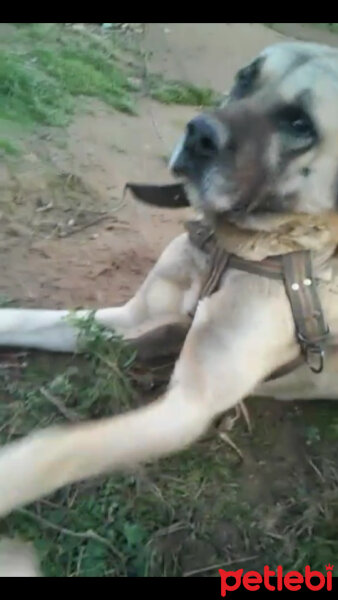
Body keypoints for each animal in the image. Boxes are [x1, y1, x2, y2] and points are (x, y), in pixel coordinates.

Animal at [0, 39, 338, 528]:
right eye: (245, 78)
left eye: (300, 123)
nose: (198, 133)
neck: (232, 248)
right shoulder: (131, 318)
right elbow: (23, 320)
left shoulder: (188, 406)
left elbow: (58, 447)